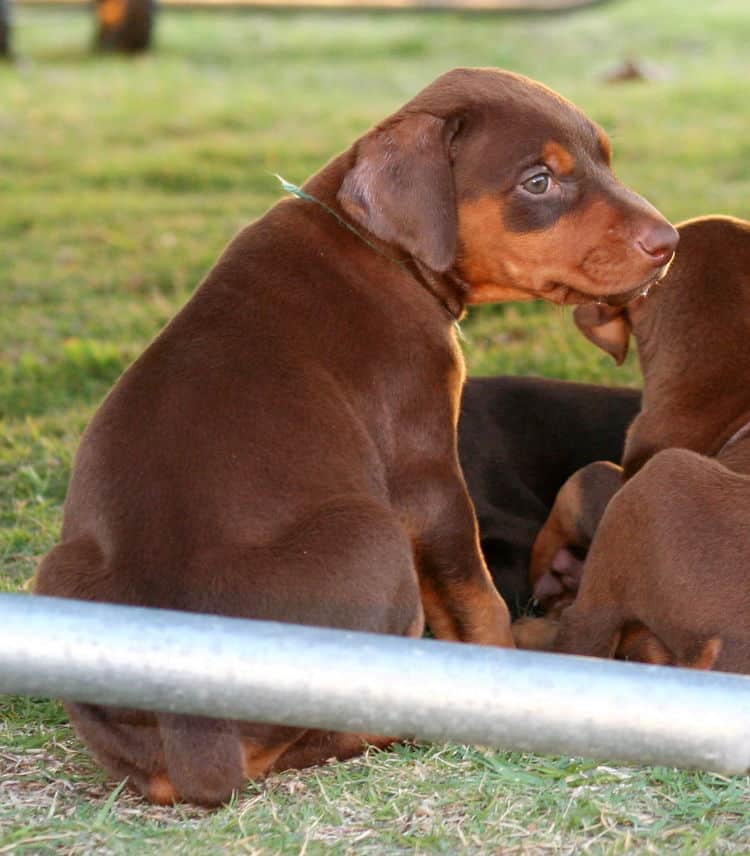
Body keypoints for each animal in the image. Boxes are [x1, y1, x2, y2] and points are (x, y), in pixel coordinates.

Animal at [35, 65, 680, 804]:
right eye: (538, 181)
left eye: (605, 159)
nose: (669, 242)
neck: (379, 247)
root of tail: (196, 727)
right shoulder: (426, 476)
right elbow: (476, 595)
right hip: (374, 533)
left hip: (59, 576)